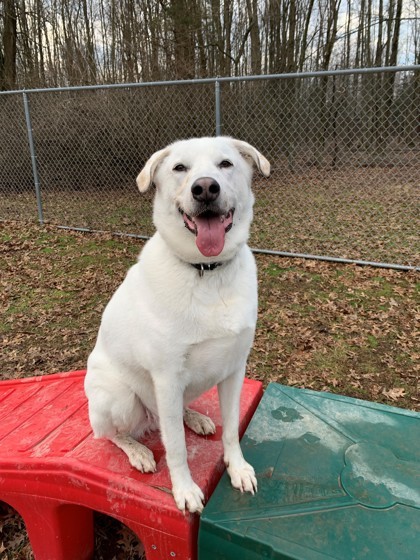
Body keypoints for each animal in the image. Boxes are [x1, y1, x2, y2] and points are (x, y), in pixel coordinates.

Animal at [85, 136, 270, 512]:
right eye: (179, 168)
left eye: (225, 164)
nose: (205, 188)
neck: (207, 271)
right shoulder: (167, 378)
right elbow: (177, 449)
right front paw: (184, 490)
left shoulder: (234, 369)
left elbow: (232, 429)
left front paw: (238, 468)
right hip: (120, 397)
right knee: (111, 434)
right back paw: (138, 451)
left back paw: (194, 418)